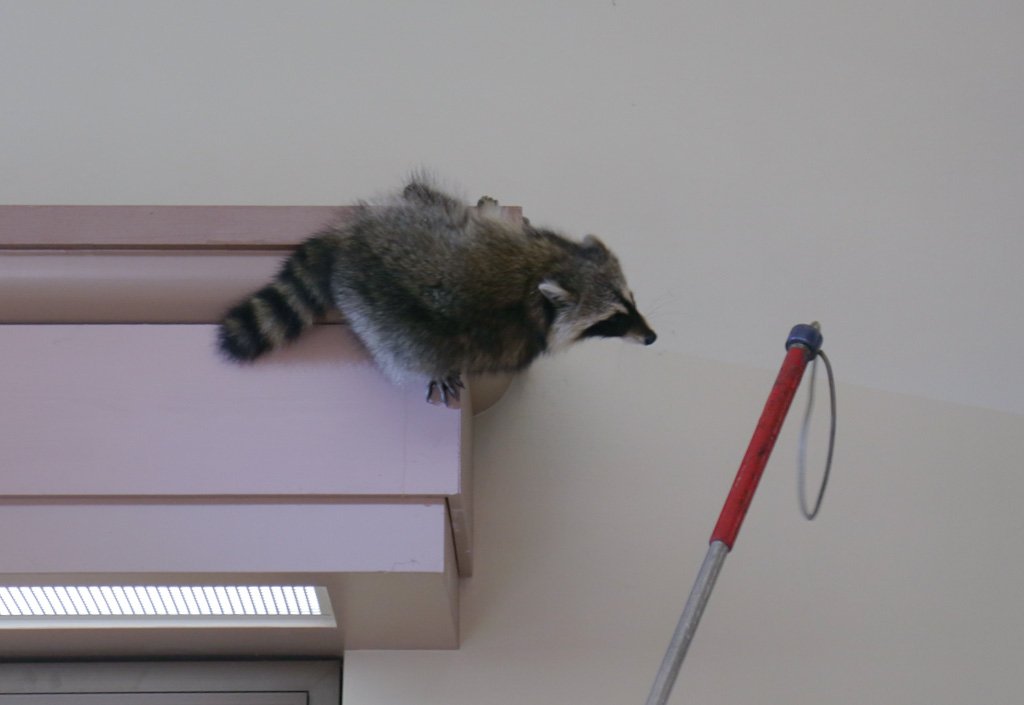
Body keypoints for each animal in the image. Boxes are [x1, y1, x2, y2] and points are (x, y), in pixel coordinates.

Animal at [217, 178, 656, 407]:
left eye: (630, 301)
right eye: (612, 319)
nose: (650, 337)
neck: (553, 268)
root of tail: (356, 237)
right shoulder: (522, 330)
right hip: (375, 305)